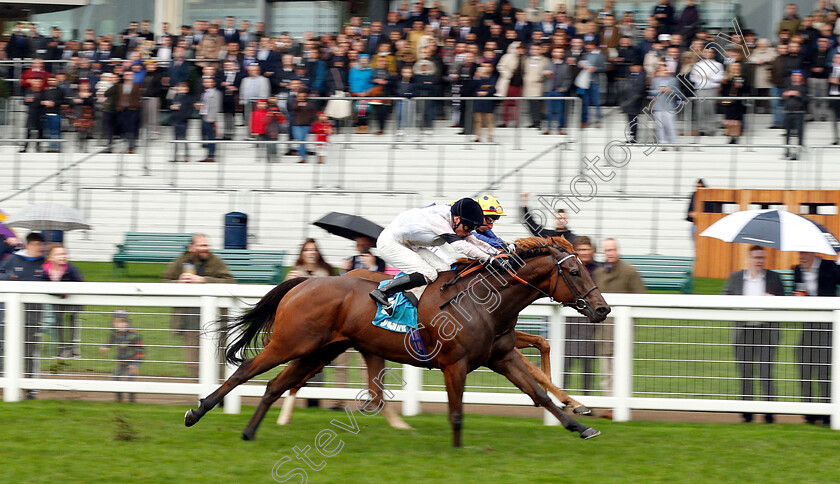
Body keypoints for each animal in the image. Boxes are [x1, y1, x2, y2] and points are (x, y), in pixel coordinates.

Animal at [187, 236, 608, 448]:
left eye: (585, 267)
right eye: (573, 271)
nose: (602, 308)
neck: (483, 300)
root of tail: (303, 281)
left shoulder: (502, 356)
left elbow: (538, 393)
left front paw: (579, 424)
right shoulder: (454, 364)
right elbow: (457, 412)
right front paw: (457, 450)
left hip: (318, 351)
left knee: (274, 385)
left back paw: (249, 432)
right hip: (291, 342)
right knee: (244, 371)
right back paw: (197, 412)